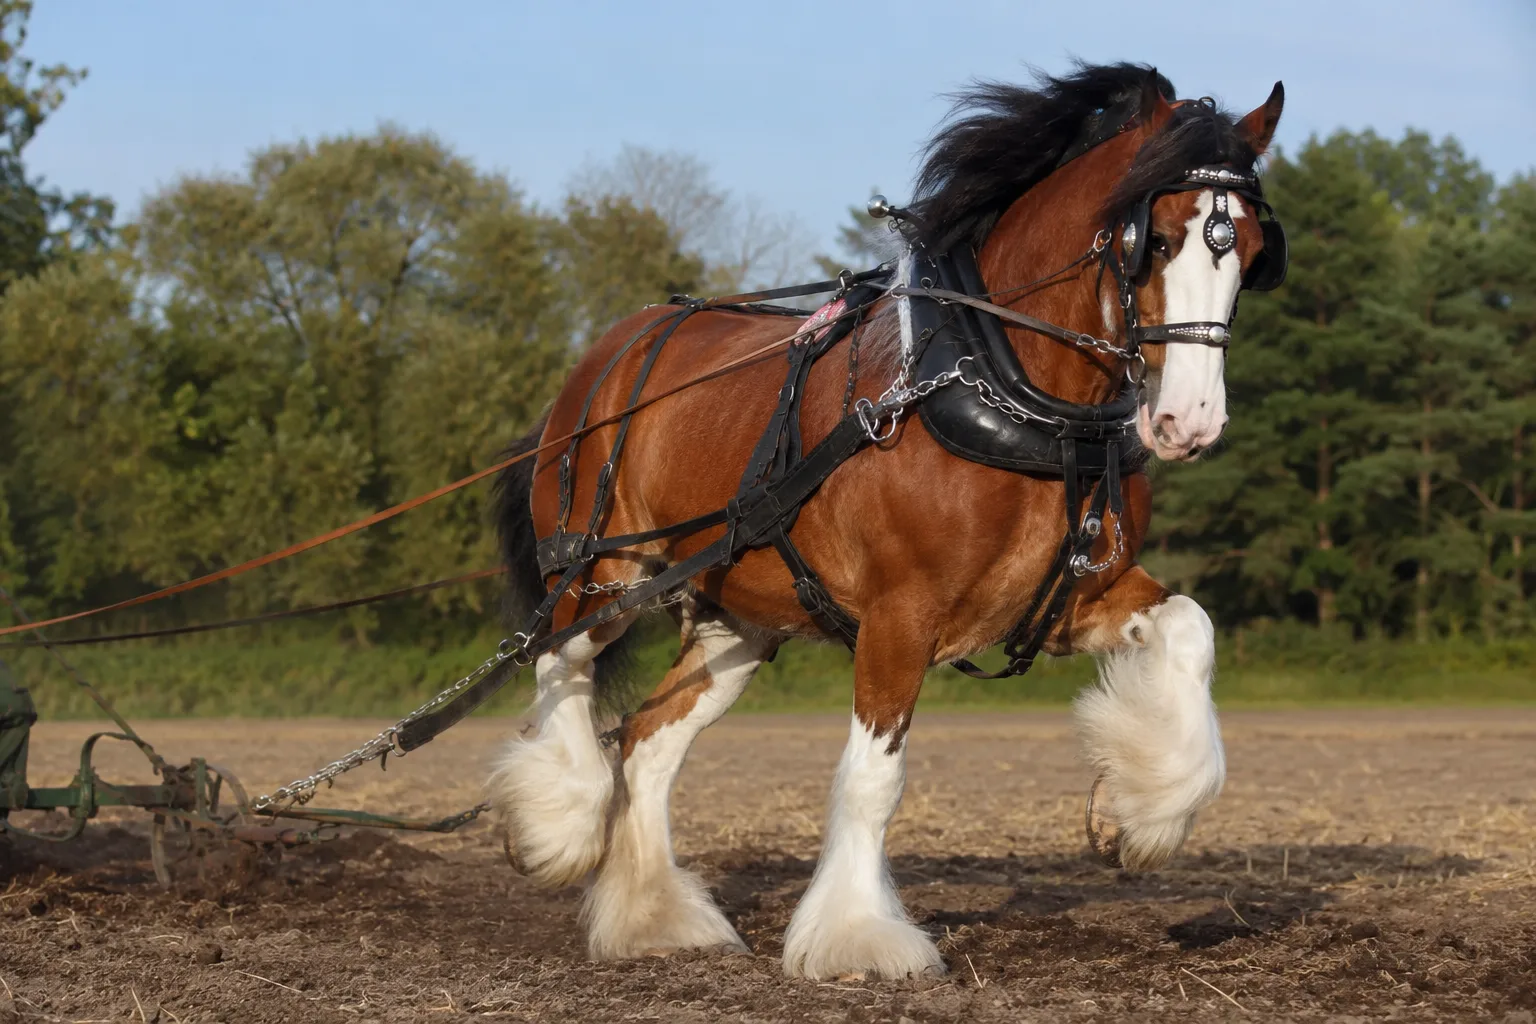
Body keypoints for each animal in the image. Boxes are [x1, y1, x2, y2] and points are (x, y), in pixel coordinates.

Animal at [485, 62, 1285, 980]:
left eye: (1251, 253)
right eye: (1152, 241)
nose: (1191, 421)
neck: (1007, 387)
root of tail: (602, 359)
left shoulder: (1070, 595)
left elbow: (1191, 628)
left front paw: (1139, 814)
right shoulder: (901, 614)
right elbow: (873, 779)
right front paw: (858, 937)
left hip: (737, 620)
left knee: (648, 740)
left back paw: (656, 916)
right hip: (601, 573)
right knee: (558, 662)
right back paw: (562, 819)